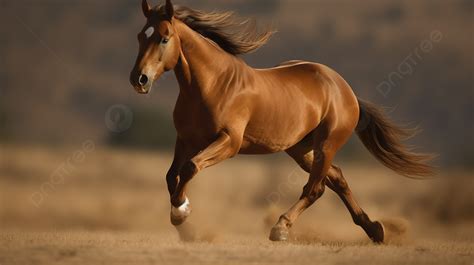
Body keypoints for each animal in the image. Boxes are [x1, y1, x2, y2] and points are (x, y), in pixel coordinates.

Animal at [129, 0, 434, 243]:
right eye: (141, 36)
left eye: (165, 38)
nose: (139, 79)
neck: (213, 85)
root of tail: (344, 88)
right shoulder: (185, 140)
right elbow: (172, 176)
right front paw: (186, 227)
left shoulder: (229, 142)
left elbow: (190, 168)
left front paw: (182, 213)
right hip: (300, 149)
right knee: (337, 179)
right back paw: (374, 230)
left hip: (326, 144)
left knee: (315, 188)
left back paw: (281, 228)